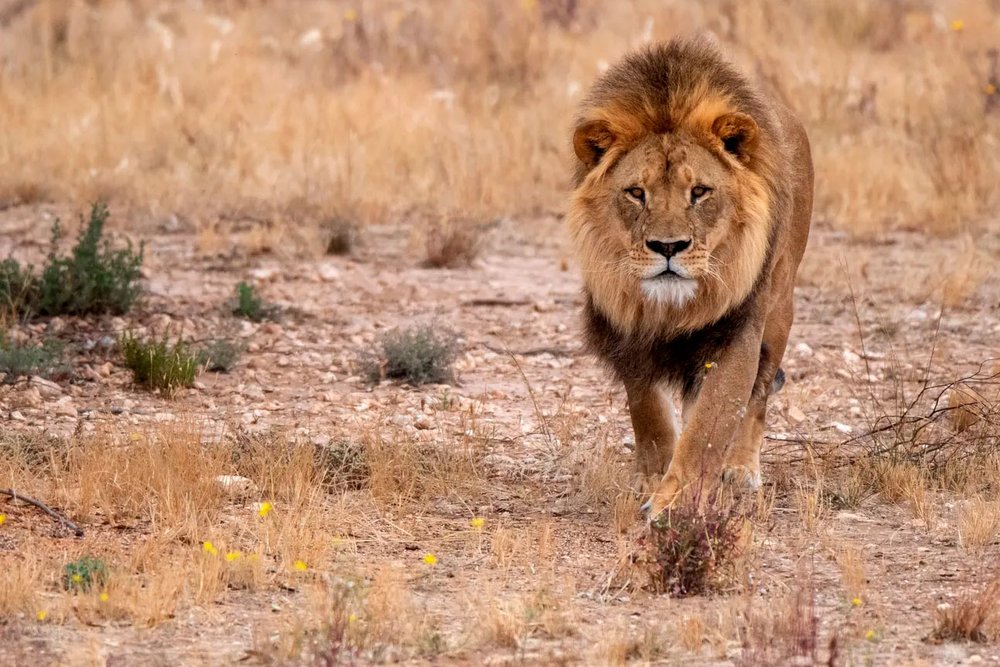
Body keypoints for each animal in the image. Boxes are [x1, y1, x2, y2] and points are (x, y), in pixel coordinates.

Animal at [566, 38, 813, 518]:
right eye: (636, 193)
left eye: (699, 192)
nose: (668, 247)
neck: (671, 307)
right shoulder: (627, 330)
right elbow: (647, 410)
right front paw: (653, 477)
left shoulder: (736, 330)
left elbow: (709, 428)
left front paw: (675, 503)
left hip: (779, 312)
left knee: (759, 395)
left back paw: (741, 470)